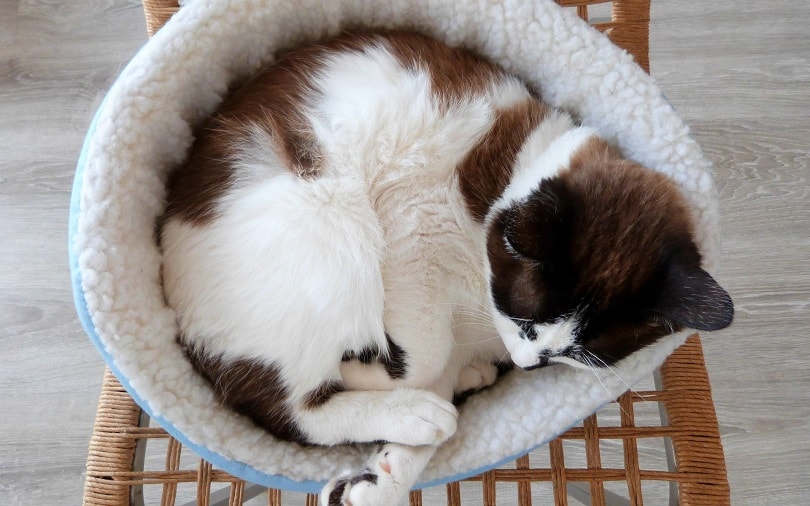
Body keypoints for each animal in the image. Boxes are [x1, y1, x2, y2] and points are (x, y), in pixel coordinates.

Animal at [158, 30, 732, 506]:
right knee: (291, 407)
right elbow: (426, 355)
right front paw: (387, 383)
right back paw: (393, 394)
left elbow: (438, 380)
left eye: (569, 357)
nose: (528, 365)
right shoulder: (413, 218)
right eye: (526, 322)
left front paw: (381, 478)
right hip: (331, 222)